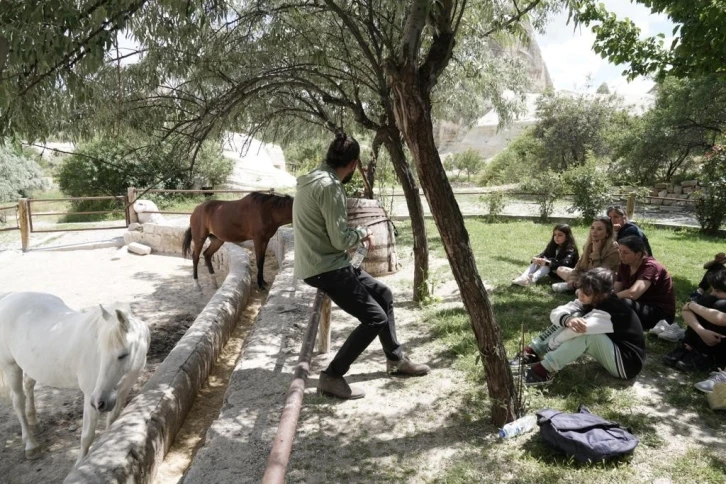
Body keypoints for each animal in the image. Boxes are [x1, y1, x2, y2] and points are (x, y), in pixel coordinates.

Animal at [0, 292, 151, 466]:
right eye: (100, 352)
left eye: (123, 355)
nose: (100, 402)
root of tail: (9, 297)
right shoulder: (90, 396)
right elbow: (87, 436)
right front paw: (80, 464)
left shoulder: (123, 391)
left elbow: (112, 421)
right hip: (11, 366)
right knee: (18, 401)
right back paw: (31, 445)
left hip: (31, 366)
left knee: (28, 385)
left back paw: (34, 422)